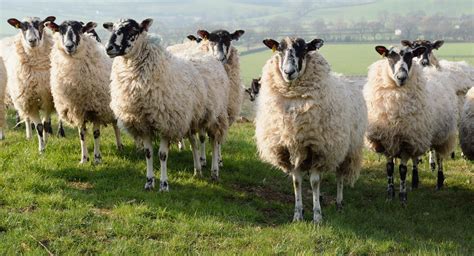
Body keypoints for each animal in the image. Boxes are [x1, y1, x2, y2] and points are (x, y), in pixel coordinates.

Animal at [45, 21, 123, 163]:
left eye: (80, 29)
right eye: (61, 30)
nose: (69, 46)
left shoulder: (98, 109)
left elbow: (96, 134)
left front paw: (97, 159)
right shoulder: (78, 110)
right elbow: (82, 134)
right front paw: (84, 159)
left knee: (116, 126)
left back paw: (120, 146)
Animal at [103, 18, 230, 190]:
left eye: (132, 31)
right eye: (112, 29)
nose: (108, 48)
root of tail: (209, 56)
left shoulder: (166, 122)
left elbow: (162, 155)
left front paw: (164, 185)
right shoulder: (143, 123)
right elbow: (148, 153)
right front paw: (149, 182)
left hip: (216, 115)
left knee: (214, 141)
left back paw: (214, 172)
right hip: (192, 118)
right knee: (194, 143)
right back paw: (197, 170)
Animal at [256, 37, 366, 223]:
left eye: (304, 49)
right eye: (279, 49)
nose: (289, 72)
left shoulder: (318, 149)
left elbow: (315, 182)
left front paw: (317, 216)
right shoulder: (291, 148)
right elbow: (297, 182)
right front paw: (297, 215)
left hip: (346, 149)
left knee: (340, 176)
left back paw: (339, 202)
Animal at [364, 44, 458, 202]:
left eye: (410, 56)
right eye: (389, 55)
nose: (401, 77)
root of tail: (433, 71)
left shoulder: (405, 142)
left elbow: (402, 170)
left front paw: (402, 197)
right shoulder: (388, 140)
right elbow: (389, 168)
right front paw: (390, 194)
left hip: (440, 135)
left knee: (439, 157)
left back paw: (439, 182)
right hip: (417, 135)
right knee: (415, 159)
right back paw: (415, 181)